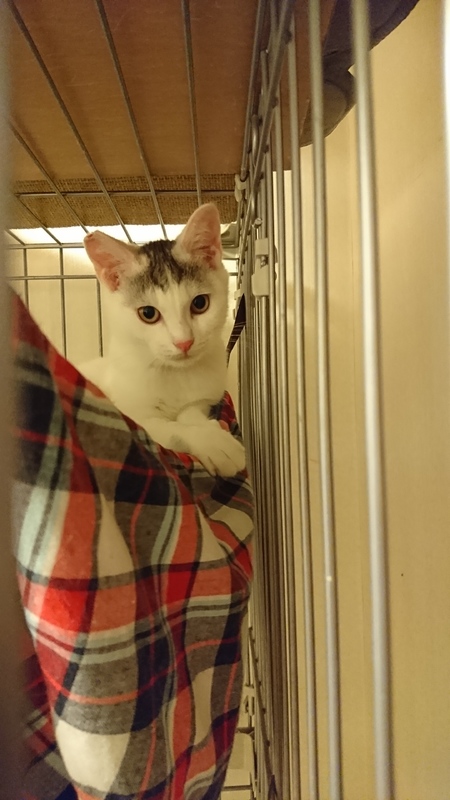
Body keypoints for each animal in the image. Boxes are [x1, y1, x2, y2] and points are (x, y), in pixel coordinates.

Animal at [79, 202, 245, 478]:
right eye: (148, 313)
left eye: (200, 303)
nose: (184, 342)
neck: (174, 374)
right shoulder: (132, 418)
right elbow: (170, 430)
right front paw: (212, 443)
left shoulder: (207, 397)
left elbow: (191, 412)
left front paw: (209, 430)